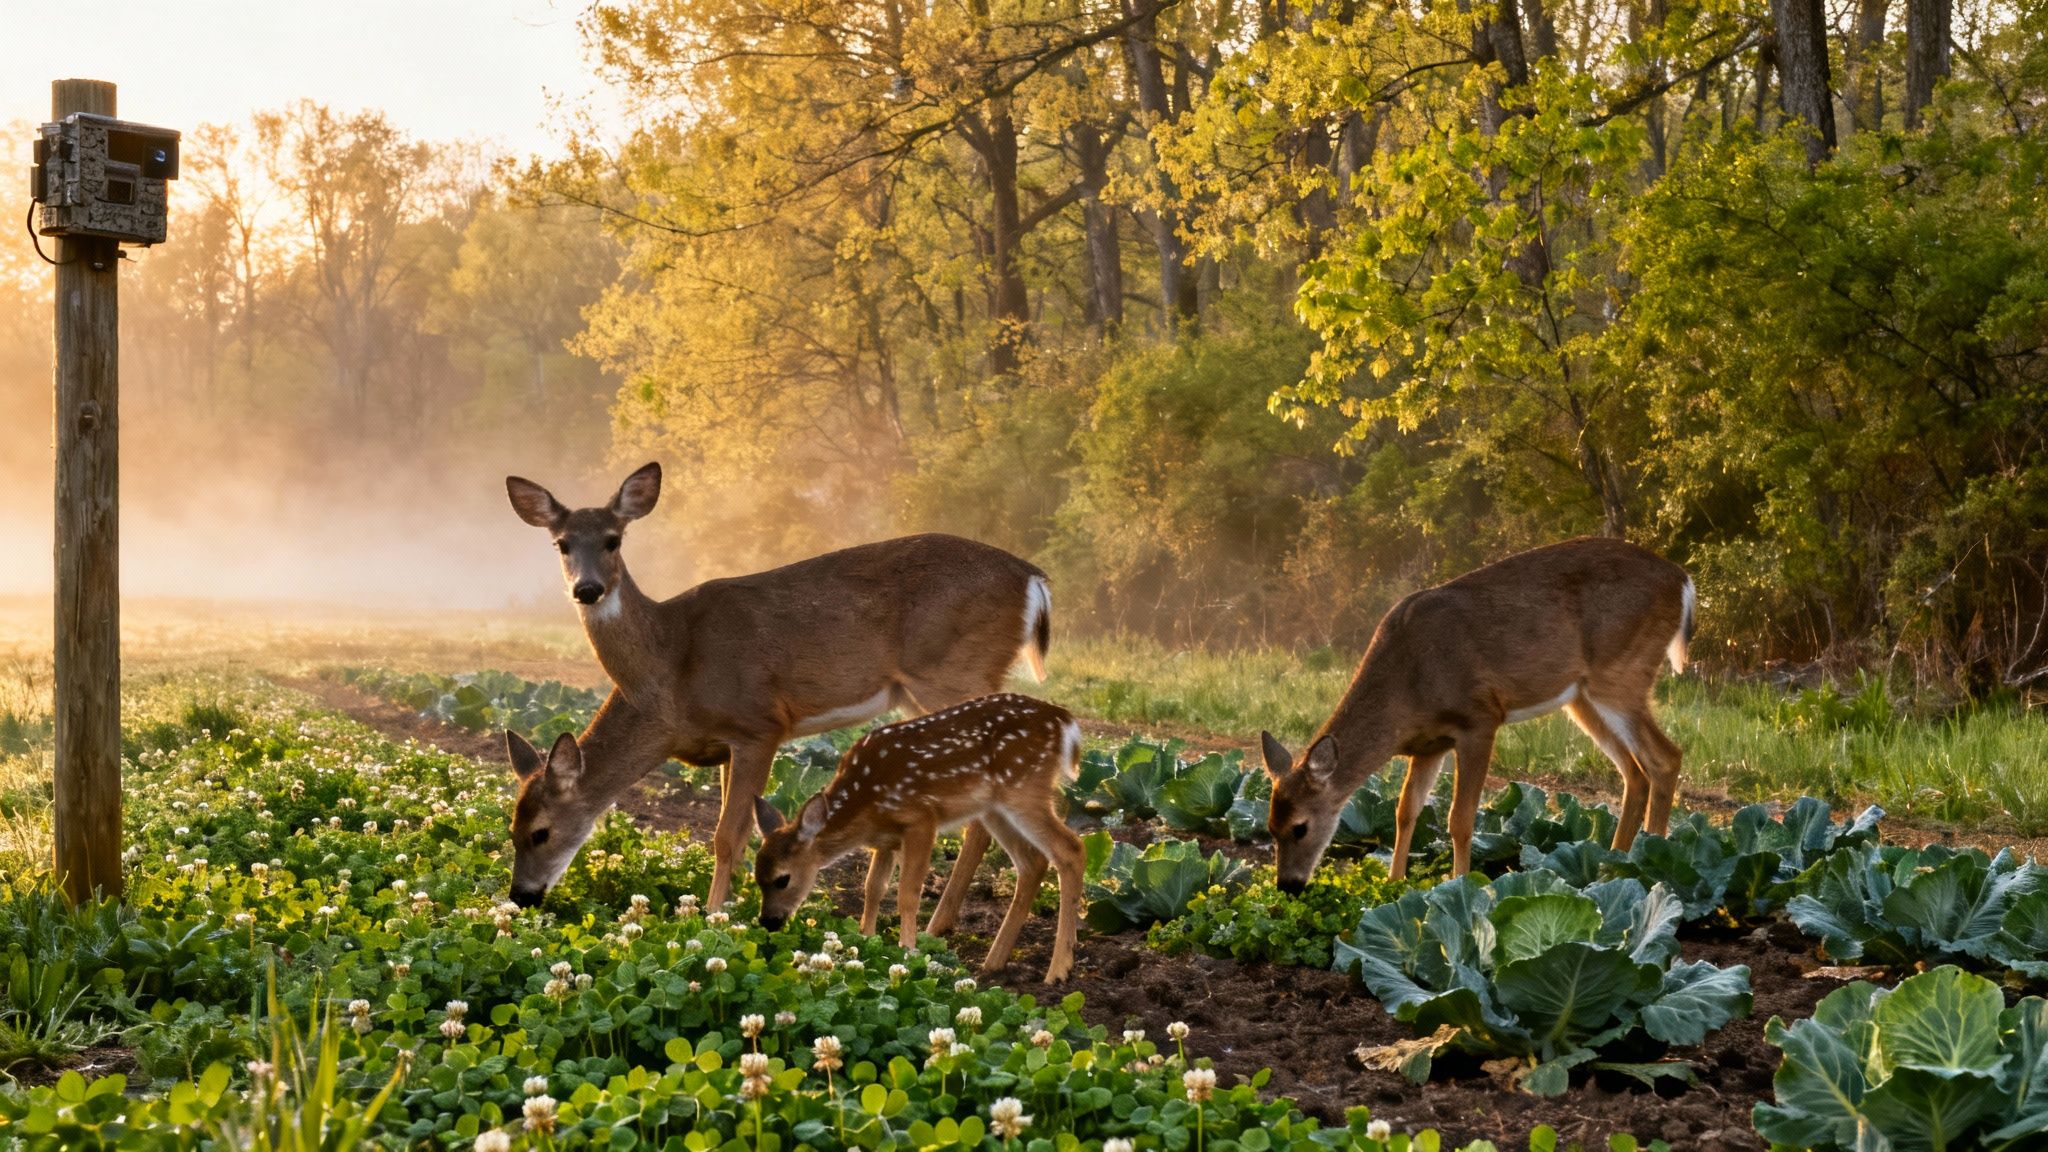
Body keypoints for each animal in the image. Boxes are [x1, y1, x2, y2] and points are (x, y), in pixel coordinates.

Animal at [502, 462, 1053, 922]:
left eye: (540, 831)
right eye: (561, 544)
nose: (521, 896)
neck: (671, 673)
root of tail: (1035, 578)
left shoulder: (759, 724)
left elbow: (727, 836)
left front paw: (712, 917)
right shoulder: (723, 745)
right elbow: (732, 835)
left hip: (955, 674)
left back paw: (943, 929)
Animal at [752, 693, 1087, 982]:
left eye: (783, 879)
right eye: (756, 877)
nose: (768, 922)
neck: (865, 802)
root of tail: (1064, 719)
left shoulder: (921, 819)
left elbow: (907, 893)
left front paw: (907, 951)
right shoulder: (887, 840)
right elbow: (873, 888)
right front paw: (865, 940)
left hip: (1023, 789)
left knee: (1071, 848)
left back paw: (1058, 970)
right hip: (994, 807)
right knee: (1033, 862)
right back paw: (993, 962)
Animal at [1261, 537, 1696, 889]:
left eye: (1300, 828)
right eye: (1270, 827)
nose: (1289, 886)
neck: (1408, 686)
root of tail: (1682, 579)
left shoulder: (1480, 718)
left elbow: (1460, 818)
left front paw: (1460, 884)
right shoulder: (1428, 745)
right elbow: (1405, 810)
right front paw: (1394, 882)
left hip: (1620, 672)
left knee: (1665, 757)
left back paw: (1652, 866)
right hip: (1582, 697)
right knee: (1635, 772)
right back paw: (1610, 868)